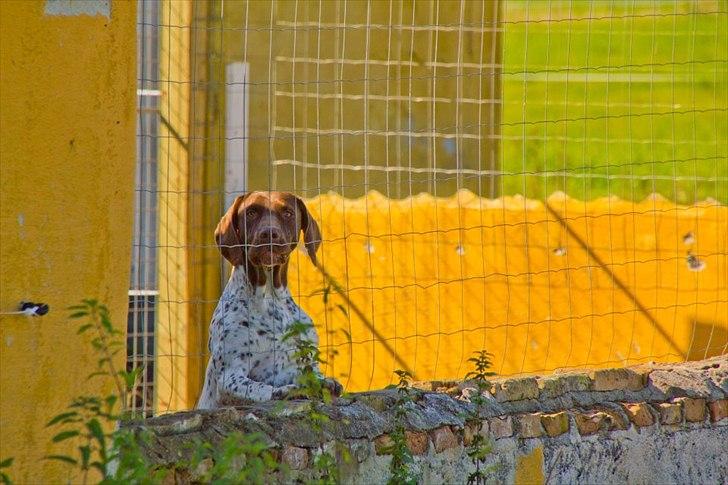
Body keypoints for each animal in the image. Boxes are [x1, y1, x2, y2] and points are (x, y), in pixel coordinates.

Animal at [196, 191, 344, 406]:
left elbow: (312, 376)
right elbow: (261, 388)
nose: (269, 233)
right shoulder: (229, 377)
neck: (269, 298)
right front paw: (287, 391)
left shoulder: (301, 364)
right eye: (251, 212)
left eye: (288, 213)